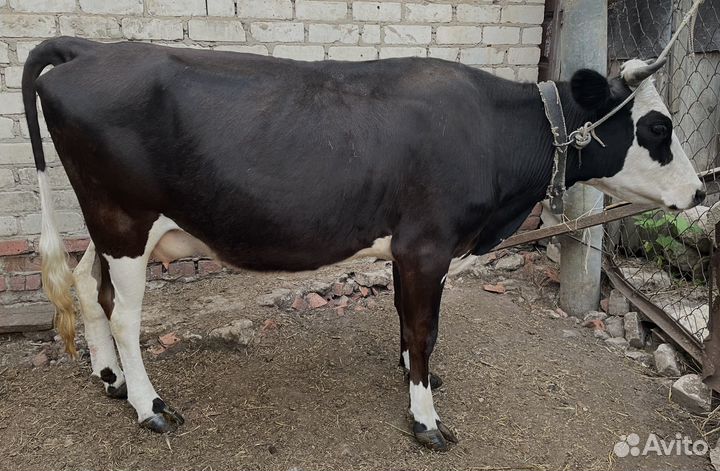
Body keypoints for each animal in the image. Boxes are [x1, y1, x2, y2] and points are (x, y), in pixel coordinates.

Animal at [22, 36, 704, 451]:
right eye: (657, 127)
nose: (700, 191)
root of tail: (91, 49)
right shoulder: (426, 245)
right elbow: (424, 327)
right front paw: (426, 421)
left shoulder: (414, 249)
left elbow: (409, 323)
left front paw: (414, 378)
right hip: (124, 219)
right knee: (123, 313)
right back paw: (149, 405)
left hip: (110, 226)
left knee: (85, 286)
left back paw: (109, 378)